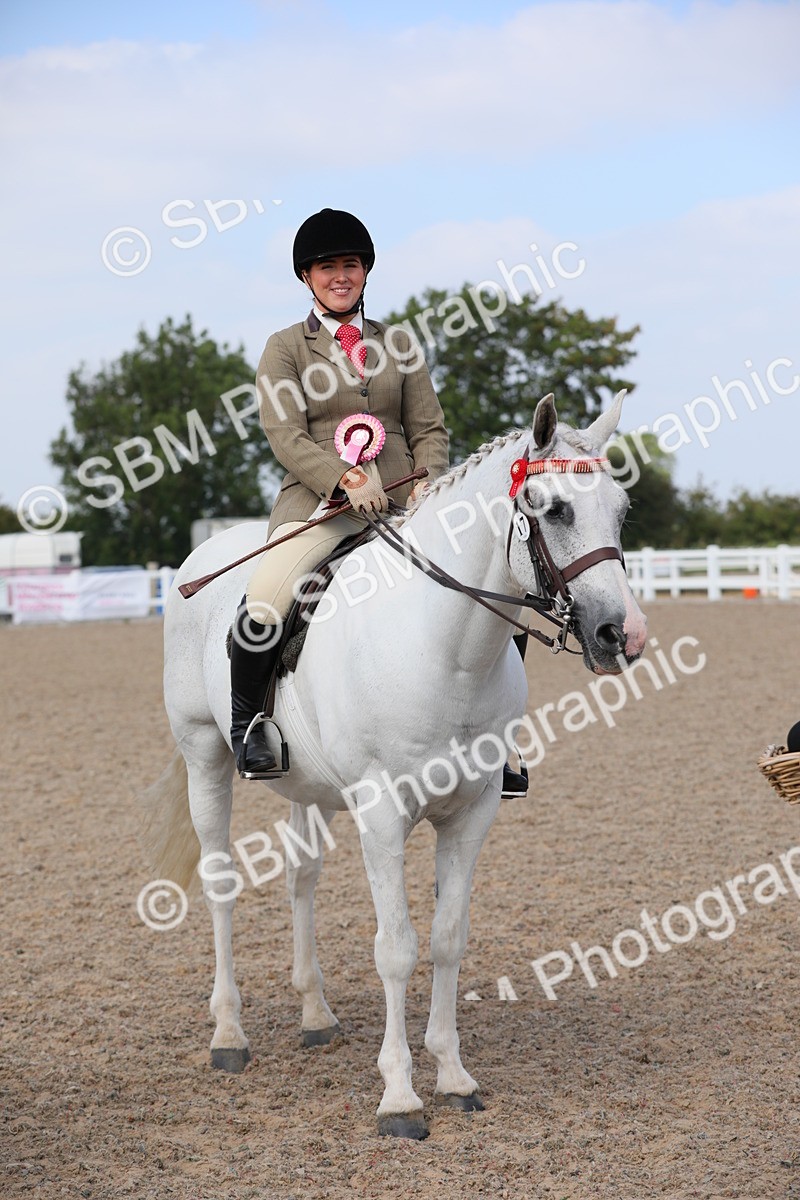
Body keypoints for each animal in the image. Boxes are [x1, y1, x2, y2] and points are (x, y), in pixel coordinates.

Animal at [143, 392, 648, 1140]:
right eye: (552, 509)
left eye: (619, 510)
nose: (624, 635)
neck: (444, 645)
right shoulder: (381, 815)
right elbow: (397, 948)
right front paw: (401, 1097)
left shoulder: (472, 812)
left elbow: (447, 939)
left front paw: (454, 1075)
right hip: (204, 753)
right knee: (222, 883)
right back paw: (229, 1034)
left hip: (307, 787)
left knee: (301, 881)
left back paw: (315, 1014)